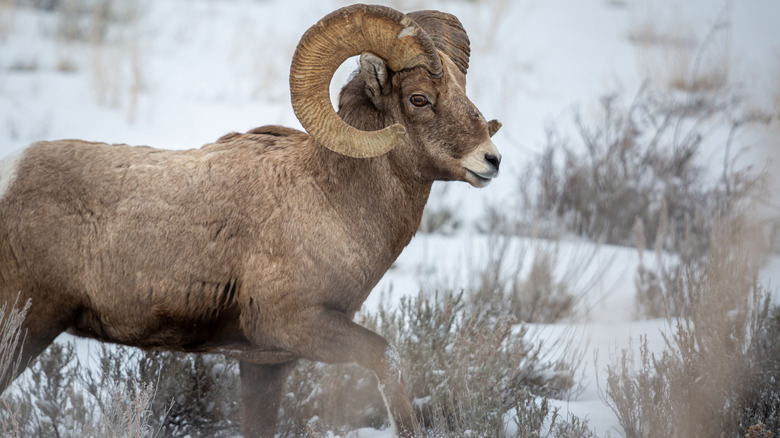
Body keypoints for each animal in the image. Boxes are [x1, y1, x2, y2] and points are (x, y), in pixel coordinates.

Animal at [0, 4, 500, 438]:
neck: (330, 199)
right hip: (27, 327)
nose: (491, 160)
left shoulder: (266, 363)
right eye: (419, 99)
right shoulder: (298, 325)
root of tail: (10, 173)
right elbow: (387, 359)